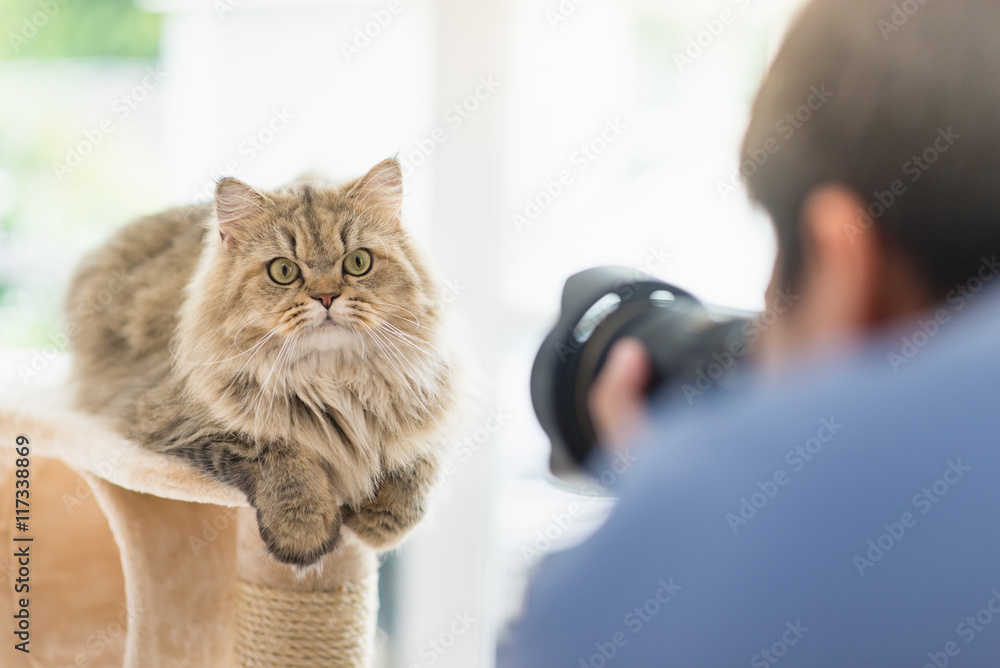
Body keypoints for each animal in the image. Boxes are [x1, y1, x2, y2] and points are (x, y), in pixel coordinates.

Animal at [67, 159, 460, 568]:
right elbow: (277, 455)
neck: (332, 380)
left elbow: (415, 465)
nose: (326, 297)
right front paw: (305, 533)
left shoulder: (432, 402)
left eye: (358, 262)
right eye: (284, 271)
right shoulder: (172, 419)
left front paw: (379, 524)